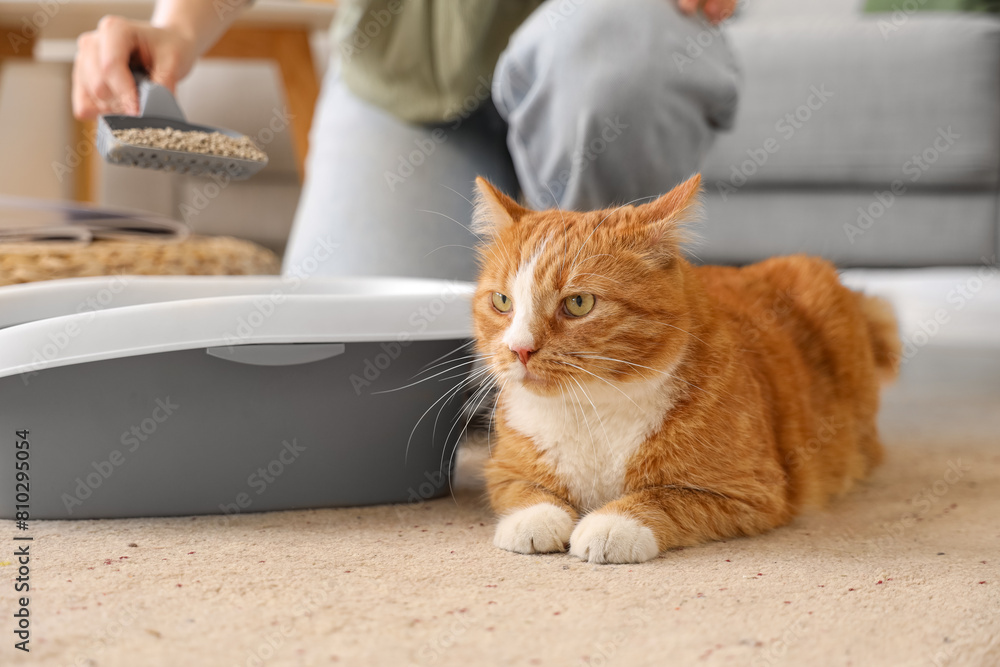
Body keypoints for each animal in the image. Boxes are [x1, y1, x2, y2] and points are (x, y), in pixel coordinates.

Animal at [472, 172, 904, 564]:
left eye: (578, 303)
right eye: (502, 301)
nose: (519, 349)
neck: (591, 411)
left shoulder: (749, 491)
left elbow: (665, 498)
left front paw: (614, 523)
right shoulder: (502, 469)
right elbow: (524, 491)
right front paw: (534, 518)